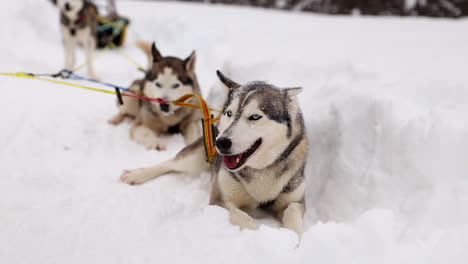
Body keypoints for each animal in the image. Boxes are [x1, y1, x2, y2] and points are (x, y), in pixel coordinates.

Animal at [121, 70, 308, 235]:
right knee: (169, 164)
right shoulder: (220, 200)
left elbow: (291, 211)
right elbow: (246, 219)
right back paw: (137, 174)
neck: (261, 170)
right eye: (230, 113)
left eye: (255, 117)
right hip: (194, 160)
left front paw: (294, 238)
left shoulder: (296, 201)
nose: (221, 142)